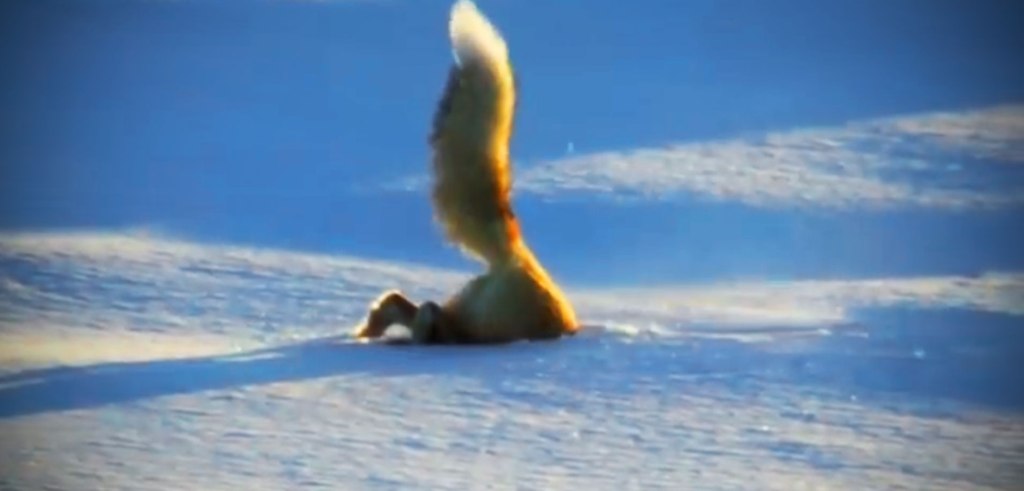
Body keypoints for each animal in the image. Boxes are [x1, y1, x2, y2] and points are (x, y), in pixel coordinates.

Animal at [353, 0, 578, 344]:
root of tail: (518, 254)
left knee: (401, 304)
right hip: (459, 317)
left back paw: (368, 331)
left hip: (452, 311)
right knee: (418, 314)